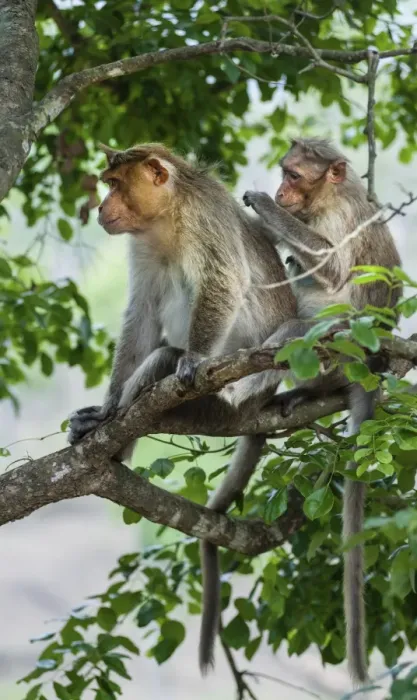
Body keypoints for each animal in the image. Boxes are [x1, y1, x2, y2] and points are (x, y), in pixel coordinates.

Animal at [67, 142, 302, 673]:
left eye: (115, 184)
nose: (100, 207)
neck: (167, 217)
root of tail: (262, 402)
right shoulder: (143, 245)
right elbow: (142, 315)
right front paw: (106, 407)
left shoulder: (204, 217)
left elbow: (222, 282)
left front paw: (191, 359)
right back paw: (105, 426)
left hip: (223, 405)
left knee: (165, 359)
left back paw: (118, 438)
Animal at [237, 137, 402, 684]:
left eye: (294, 175)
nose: (282, 190)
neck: (328, 198)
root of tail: (368, 369)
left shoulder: (339, 218)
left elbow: (330, 265)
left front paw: (261, 206)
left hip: (341, 347)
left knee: (304, 321)